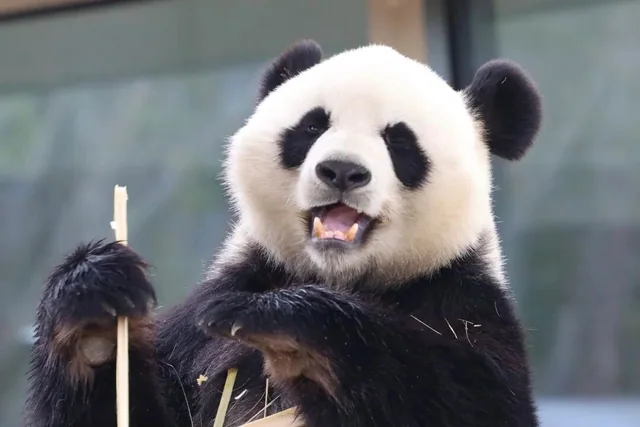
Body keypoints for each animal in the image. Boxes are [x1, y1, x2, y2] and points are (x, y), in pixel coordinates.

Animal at [25, 39, 542, 427]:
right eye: (312, 126)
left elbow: (466, 401)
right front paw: (94, 306)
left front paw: (285, 326)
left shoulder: (463, 301)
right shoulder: (203, 327)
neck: (338, 275)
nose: (342, 170)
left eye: (399, 141)